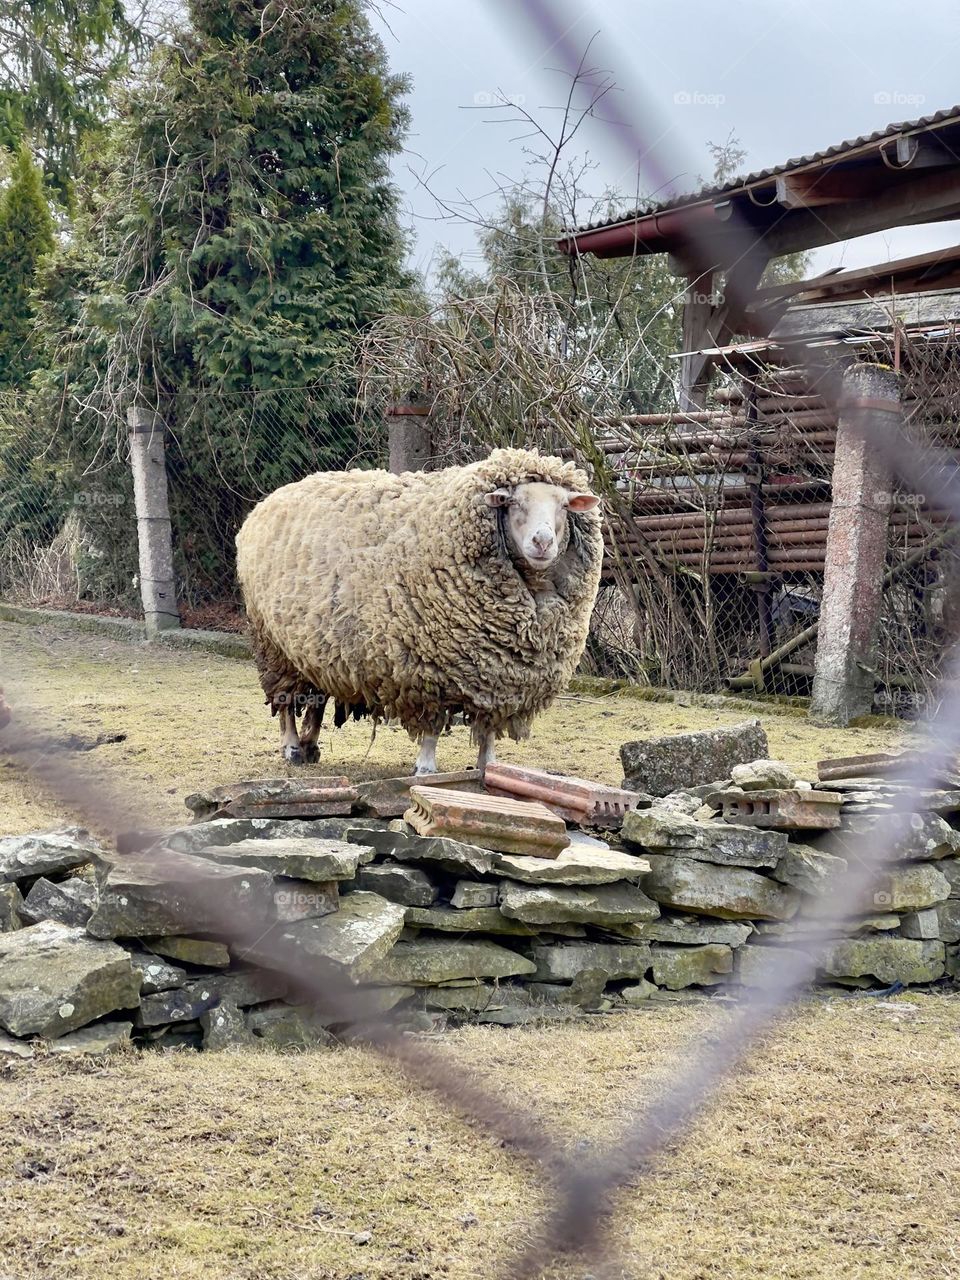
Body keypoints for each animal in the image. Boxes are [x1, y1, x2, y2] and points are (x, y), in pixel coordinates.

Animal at [235, 447, 603, 772]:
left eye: (564, 506)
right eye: (513, 503)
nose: (543, 542)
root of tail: (269, 501)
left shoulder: (497, 682)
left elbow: (486, 730)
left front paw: (488, 765)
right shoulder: (426, 672)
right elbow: (432, 727)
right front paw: (425, 767)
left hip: (316, 648)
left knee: (317, 700)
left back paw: (311, 745)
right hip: (273, 645)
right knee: (286, 702)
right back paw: (293, 748)